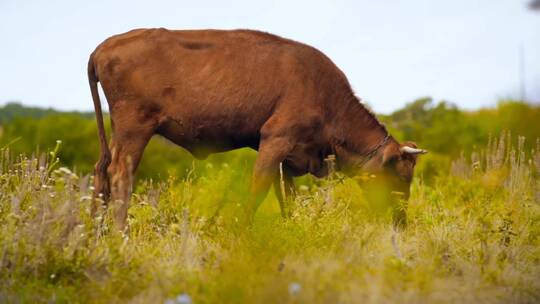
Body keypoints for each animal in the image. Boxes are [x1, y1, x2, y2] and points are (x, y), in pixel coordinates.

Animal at [88, 28, 426, 230]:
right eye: (401, 175)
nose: (401, 220)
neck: (326, 96)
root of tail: (103, 47)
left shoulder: (290, 159)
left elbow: (286, 197)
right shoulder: (275, 140)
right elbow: (258, 189)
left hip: (117, 135)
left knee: (101, 170)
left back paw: (95, 231)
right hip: (134, 130)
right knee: (120, 175)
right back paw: (120, 231)